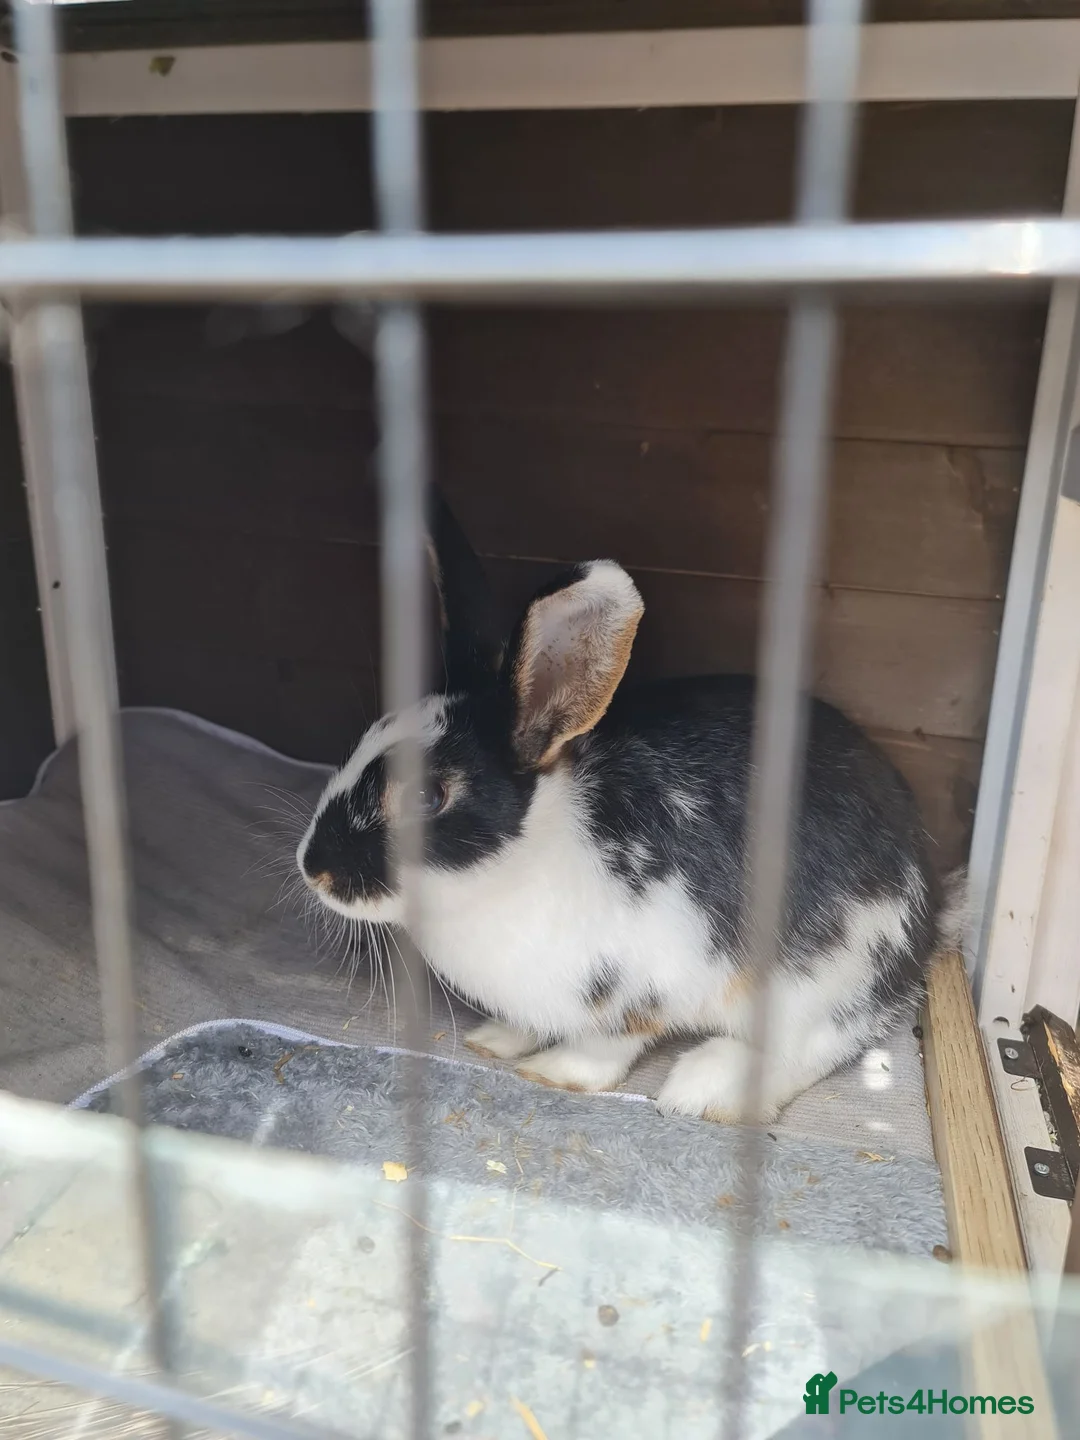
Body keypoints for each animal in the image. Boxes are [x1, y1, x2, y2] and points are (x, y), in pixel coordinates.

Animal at [297, 492, 950, 1124]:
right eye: (367, 735)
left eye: (427, 796)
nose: (314, 869)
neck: (520, 863)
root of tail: (928, 910)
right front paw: (496, 1040)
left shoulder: (641, 987)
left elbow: (603, 1049)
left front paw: (552, 1072)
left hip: (819, 981)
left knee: (811, 1047)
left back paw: (703, 1090)